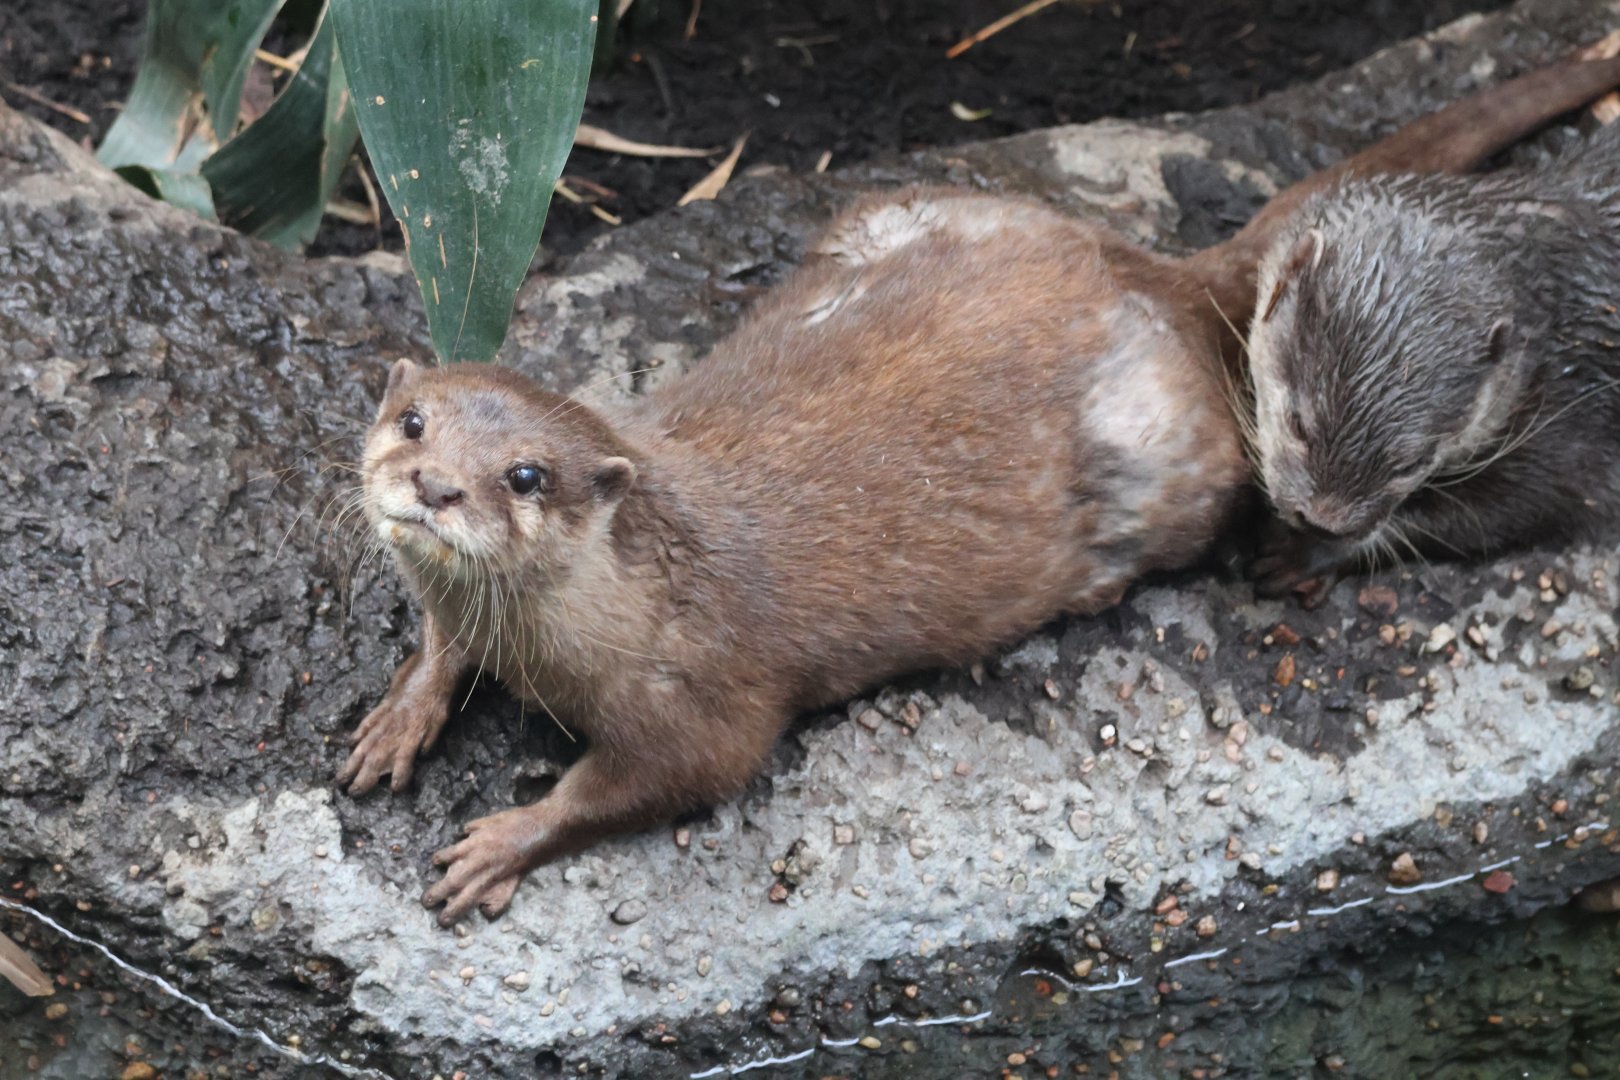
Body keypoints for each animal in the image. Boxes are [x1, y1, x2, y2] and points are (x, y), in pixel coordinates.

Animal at [1248, 121, 1620, 604]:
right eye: (1298, 425)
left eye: (1411, 464)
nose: (1323, 523)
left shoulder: (1574, 428)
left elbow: (1497, 515)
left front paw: (1308, 556)